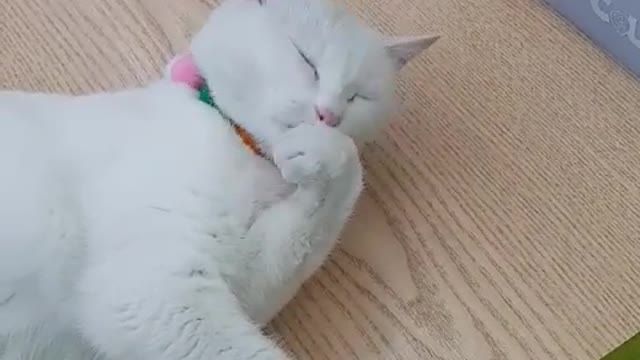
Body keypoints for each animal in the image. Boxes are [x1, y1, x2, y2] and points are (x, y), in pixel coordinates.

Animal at [0, 0, 436, 358]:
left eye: (358, 96)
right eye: (305, 58)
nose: (328, 114)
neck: (241, 146)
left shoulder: (245, 279)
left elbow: (331, 196)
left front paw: (324, 150)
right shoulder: (150, 292)